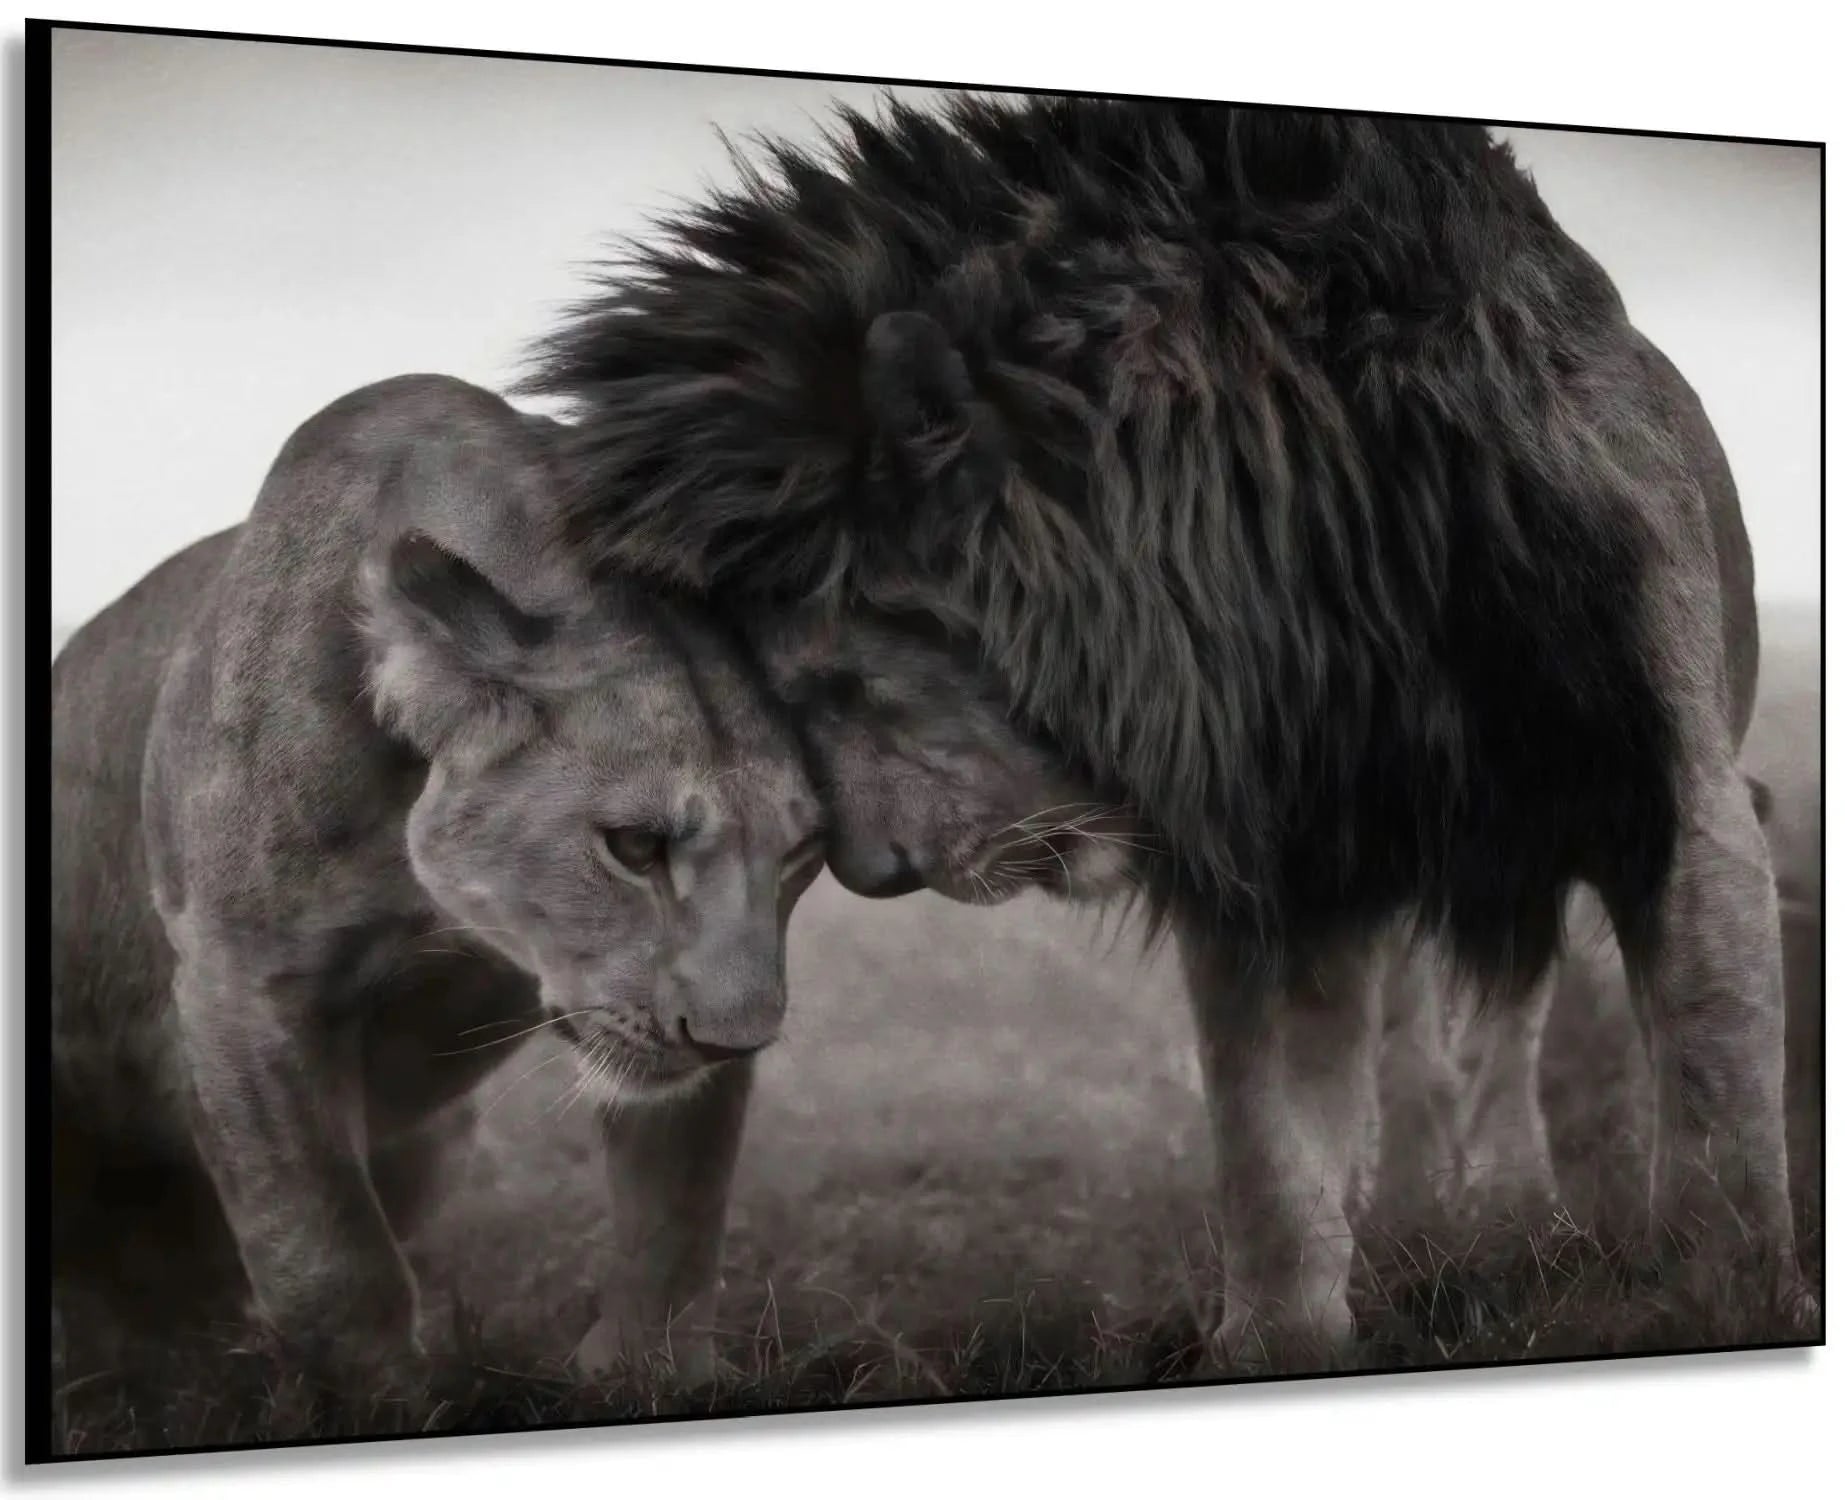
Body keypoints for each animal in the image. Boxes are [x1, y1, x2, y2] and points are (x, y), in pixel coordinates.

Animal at [50, 373, 824, 1385]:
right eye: (634, 845)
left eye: (800, 854)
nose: (738, 1042)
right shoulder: (240, 977)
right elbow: (328, 1254)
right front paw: (381, 1396)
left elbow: (677, 1219)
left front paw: (647, 1373)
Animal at [521, 97, 1812, 1361]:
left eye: (832, 682)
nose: (872, 873)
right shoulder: (1284, 859)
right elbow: (1273, 1149)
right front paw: (1283, 1338)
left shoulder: (1673, 800)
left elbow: (1716, 1094)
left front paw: (1721, 1303)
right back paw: (1417, 1208)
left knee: (1513, 1017)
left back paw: (1507, 1204)